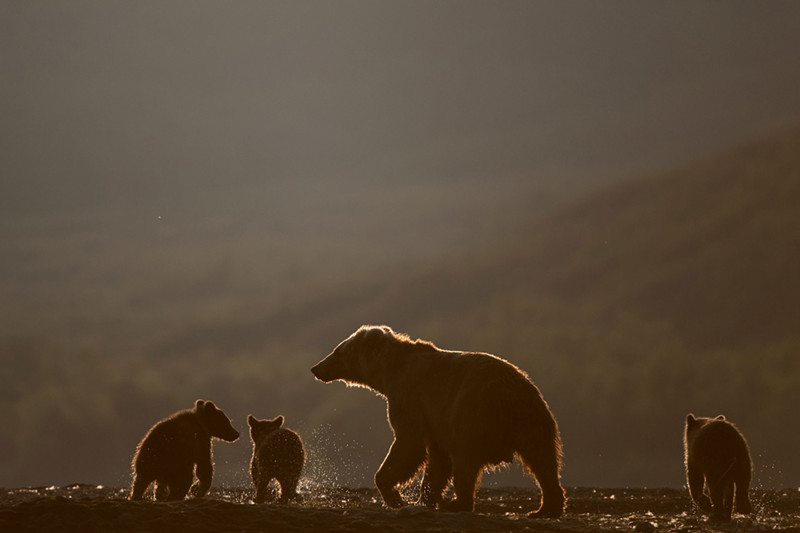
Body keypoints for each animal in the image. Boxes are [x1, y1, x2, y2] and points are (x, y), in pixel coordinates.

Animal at [310, 324, 564, 516]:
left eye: (337, 351)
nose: (315, 368)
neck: (389, 371)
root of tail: (508, 394)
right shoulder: (435, 420)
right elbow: (437, 461)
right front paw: (423, 498)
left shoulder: (410, 396)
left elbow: (408, 443)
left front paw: (396, 497)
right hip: (532, 417)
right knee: (543, 460)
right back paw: (545, 508)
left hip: (473, 414)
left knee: (466, 460)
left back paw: (455, 503)